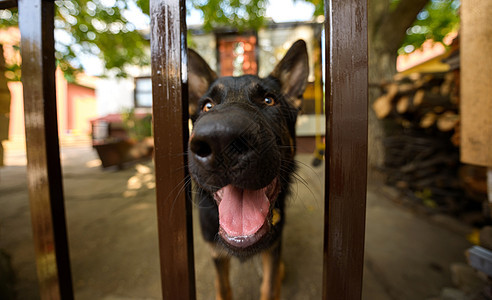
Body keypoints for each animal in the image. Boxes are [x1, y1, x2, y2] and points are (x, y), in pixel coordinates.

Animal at [187, 40, 308, 300]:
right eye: (207, 106)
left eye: (269, 101)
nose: (221, 140)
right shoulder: (216, 255)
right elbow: (223, 287)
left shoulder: (273, 250)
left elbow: (269, 287)